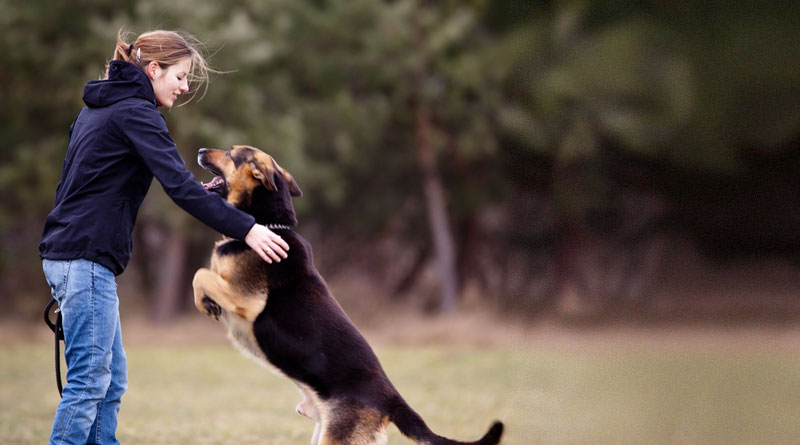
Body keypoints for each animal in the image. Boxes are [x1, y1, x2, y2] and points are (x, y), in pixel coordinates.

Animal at [191, 144, 504, 442]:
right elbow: (205, 273)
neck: (269, 225)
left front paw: (204, 303)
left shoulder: (246, 299)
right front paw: (207, 301)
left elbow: (201, 274)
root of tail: (391, 400)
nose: (200, 151)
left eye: (231, 153)